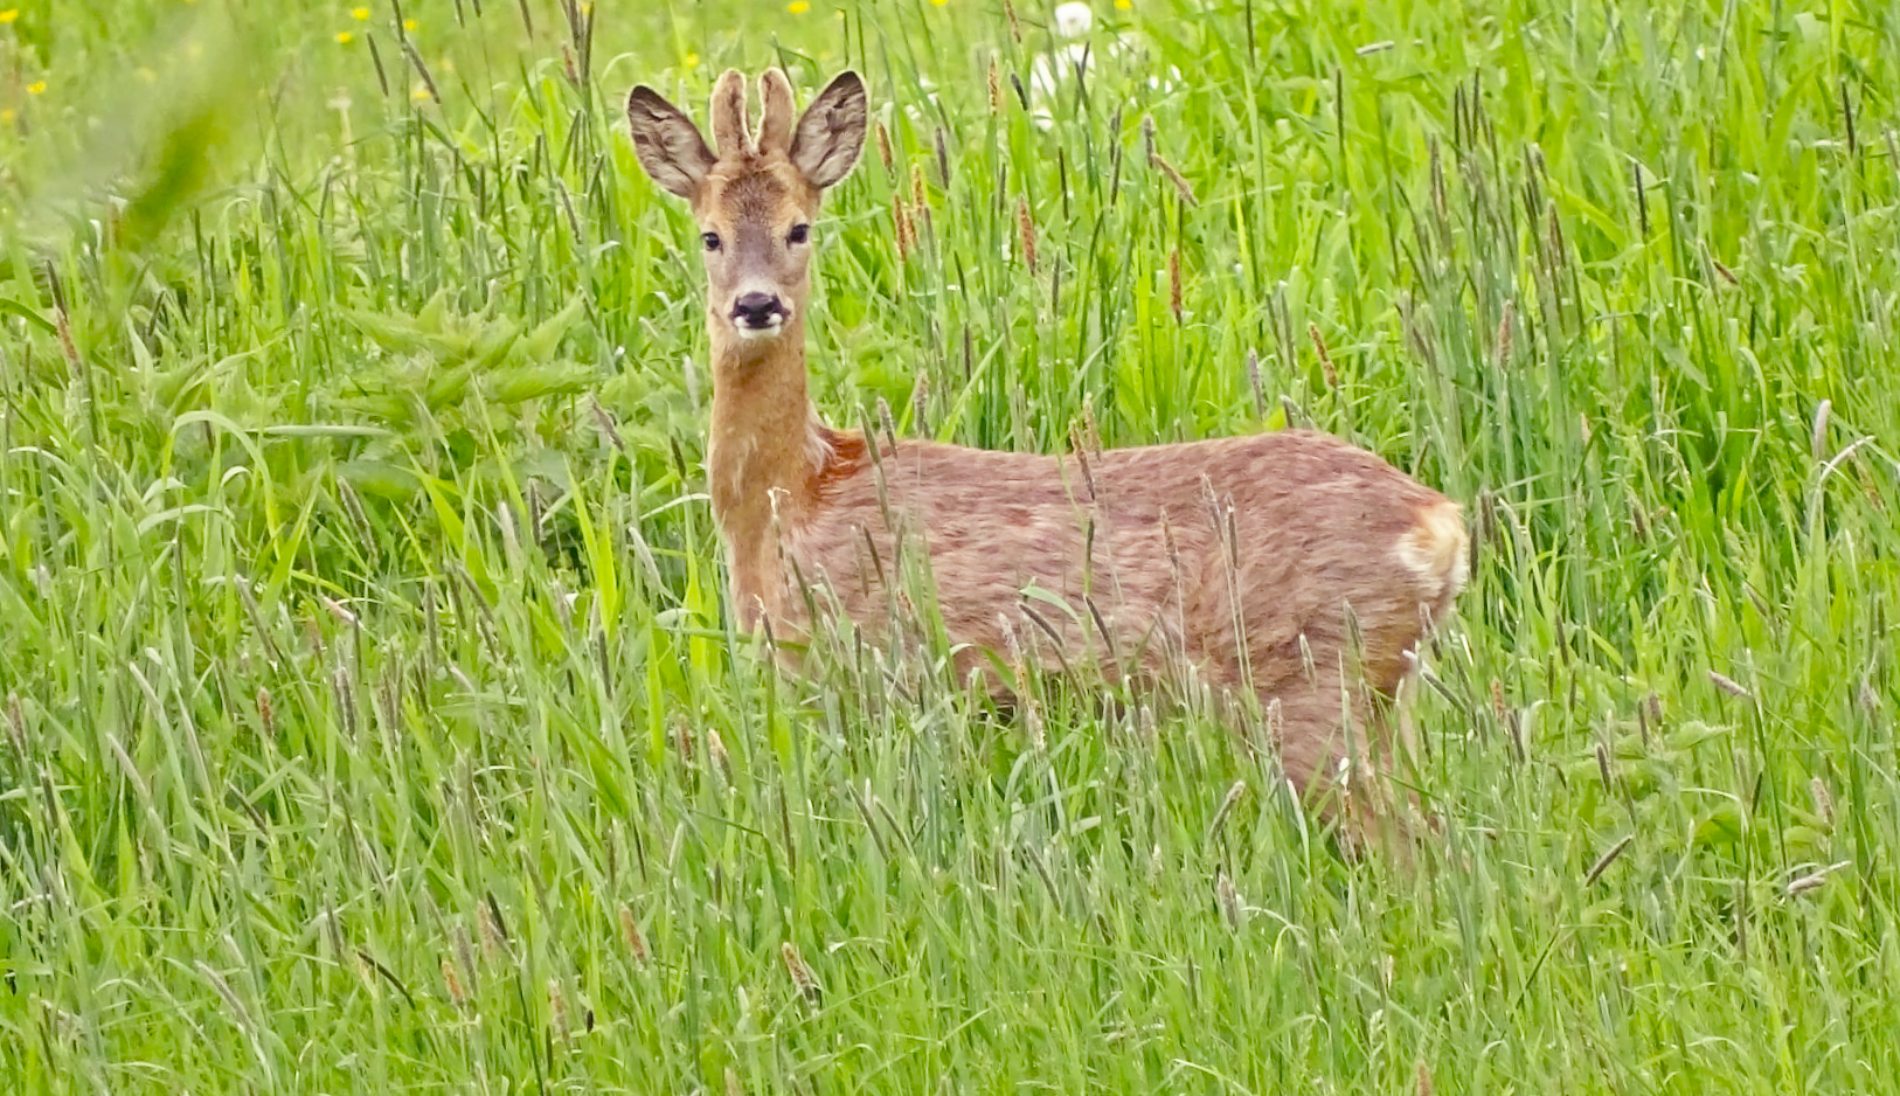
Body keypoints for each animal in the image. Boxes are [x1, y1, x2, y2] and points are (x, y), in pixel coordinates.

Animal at [623, 66, 1466, 835]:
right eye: (710, 235)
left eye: (800, 228)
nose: (756, 304)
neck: (790, 494)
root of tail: (1441, 526)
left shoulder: (849, 665)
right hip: (1386, 692)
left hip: (1309, 678)